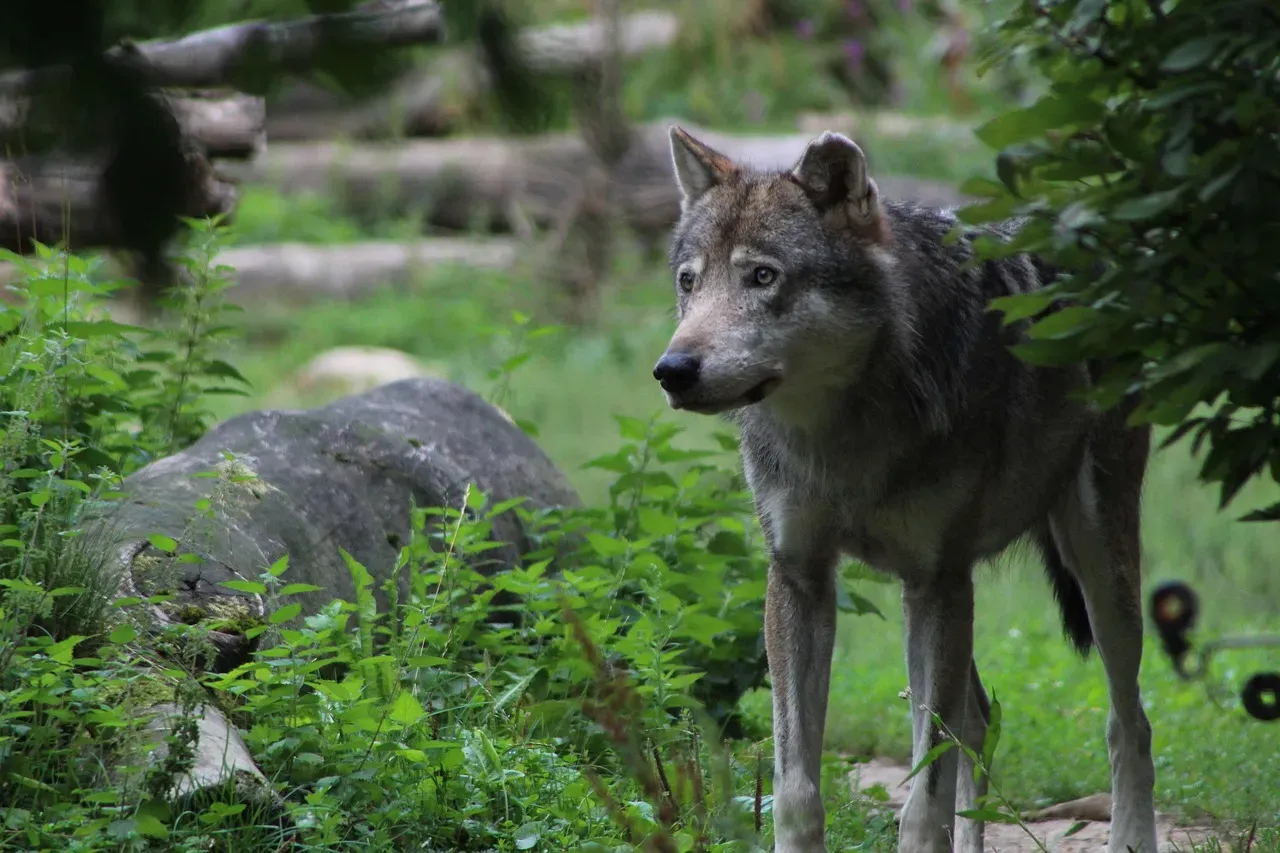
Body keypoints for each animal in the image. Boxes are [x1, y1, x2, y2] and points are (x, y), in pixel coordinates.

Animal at [651, 126, 1159, 853]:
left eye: (763, 276)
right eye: (689, 282)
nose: (672, 369)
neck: (845, 437)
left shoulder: (935, 581)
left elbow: (924, 796)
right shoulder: (801, 578)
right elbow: (796, 789)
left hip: (1097, 570)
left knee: (1129, 722)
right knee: (980, 721)